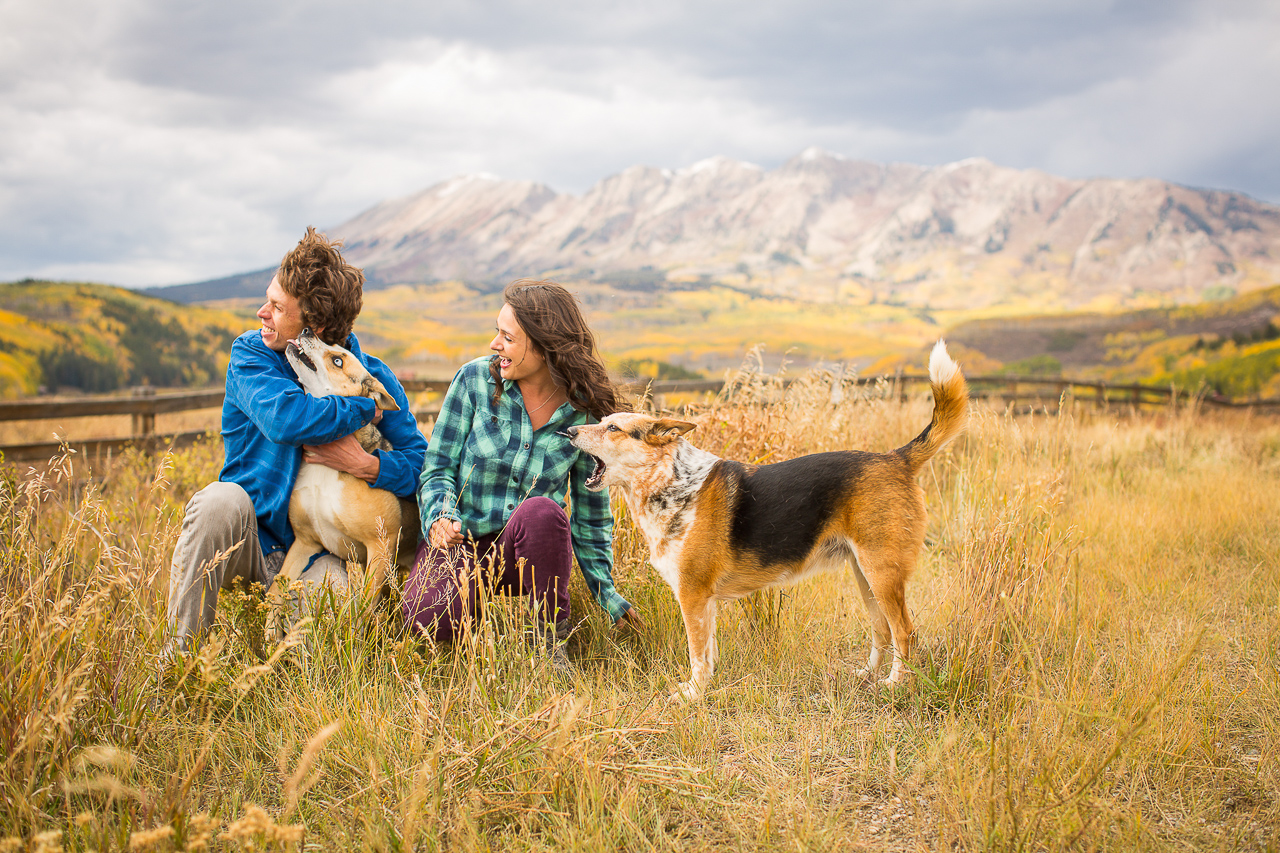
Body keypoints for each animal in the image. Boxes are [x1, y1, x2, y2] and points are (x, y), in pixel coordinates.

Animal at [267, 327, 422, 635]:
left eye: (338, 361)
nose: (306, 331)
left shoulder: (380, 545)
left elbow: (363, 607)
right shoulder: (304, 543)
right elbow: (276, 588)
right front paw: (268, 631)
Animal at [565, 338, 962, 696]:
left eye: (612, 428)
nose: (568, 431)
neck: (670, 482)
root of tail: (896, 458)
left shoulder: (693, 595)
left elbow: (697, 654)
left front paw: (692, 694)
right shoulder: (706, 602)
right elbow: (708, 653)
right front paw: (705, 687)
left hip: (881, 573)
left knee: (905, 631)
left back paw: (895, 684)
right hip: (865, 575)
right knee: (882, 630)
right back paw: (868, 676)